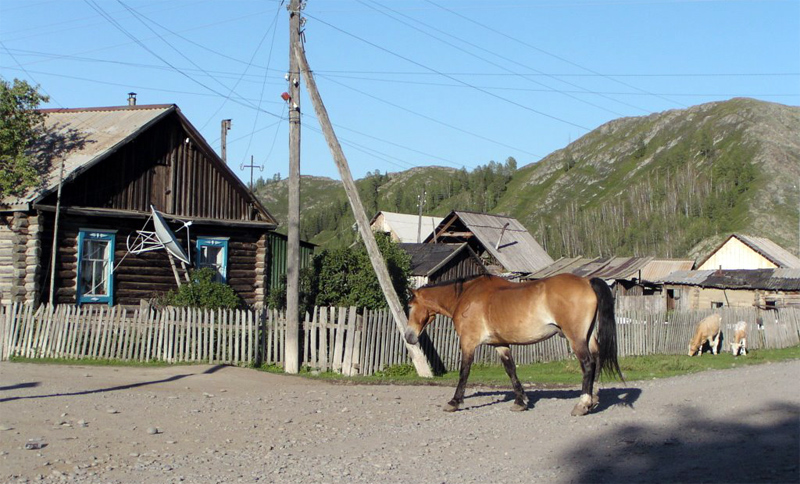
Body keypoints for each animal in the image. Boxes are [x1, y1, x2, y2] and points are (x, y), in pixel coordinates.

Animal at [406, 272, 624, 416]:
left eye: (409, 306)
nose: (409, 336)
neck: (466, 296)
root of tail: (586, 281)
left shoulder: (468, 342)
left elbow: (464, 372)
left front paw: (454, 402)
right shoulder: (500, 344)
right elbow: (510, 369)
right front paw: (521, 401)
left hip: (575, 338)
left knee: (588, 364)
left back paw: (583, 404)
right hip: (588, 336)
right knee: (597, 359)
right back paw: (594, 398)